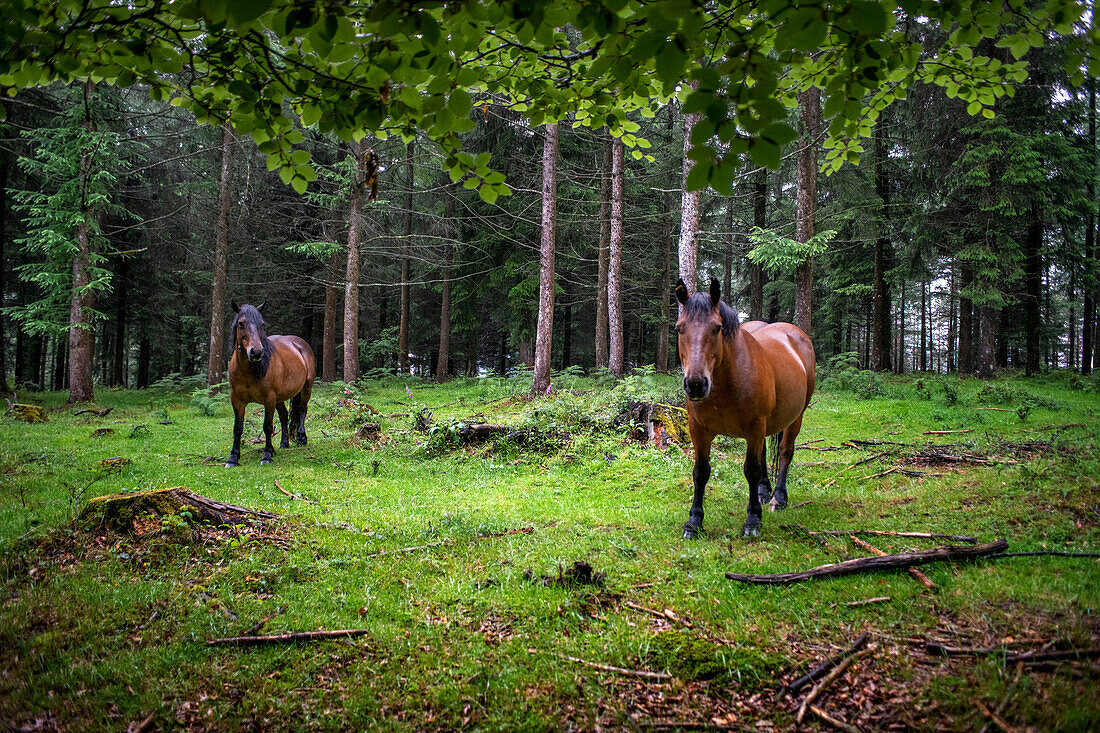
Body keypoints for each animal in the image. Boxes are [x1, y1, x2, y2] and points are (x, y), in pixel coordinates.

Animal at [225, 301, 316, 462]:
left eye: (262, 324)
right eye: (241, 323)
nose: (256, 352)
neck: (249, 371)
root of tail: (300, 343)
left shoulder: (269, 399)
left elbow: (267, 426)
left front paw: (267, 455)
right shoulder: (236, 399)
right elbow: (238, 428)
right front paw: (233, 457)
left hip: (305, 388)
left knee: (302, 410)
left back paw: (301, 438)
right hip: (280, 397)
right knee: (284, 416)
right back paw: (284, 443)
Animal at [668, 277, 818, 534]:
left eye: (717, 327)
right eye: (679, 328)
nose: (696, 385)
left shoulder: (755, 426)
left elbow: (751, 469)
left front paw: (753, 520)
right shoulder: (699, 429)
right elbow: (701, 472)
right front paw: (694, 522)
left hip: (794, 417)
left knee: (785, 451)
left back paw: (778, 497)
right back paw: (763, 492)